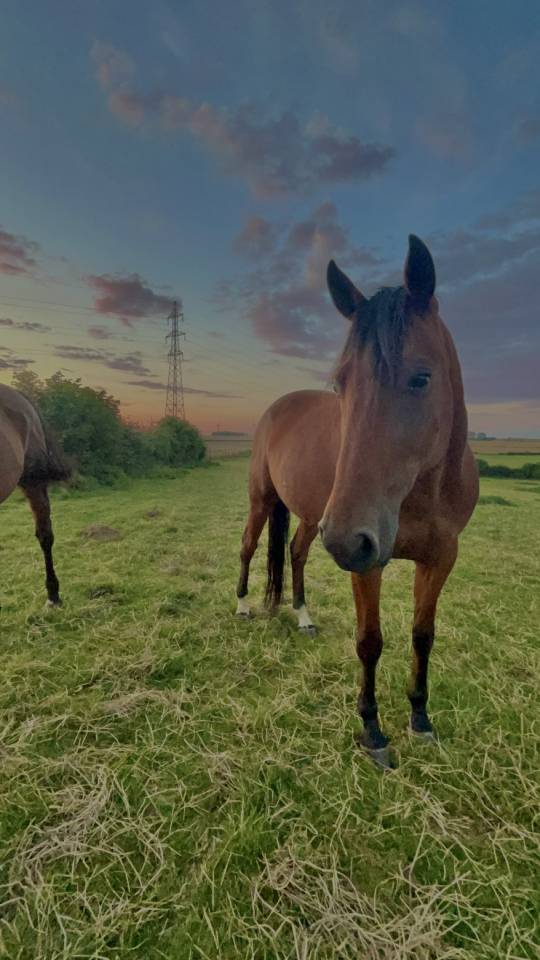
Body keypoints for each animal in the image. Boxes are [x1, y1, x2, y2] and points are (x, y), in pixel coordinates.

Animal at [236, 235, 478, 768]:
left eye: (421, 377)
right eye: (341, 383)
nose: (349, 540)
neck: (423, 490)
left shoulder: (441, 558)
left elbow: (423, 635)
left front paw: (420, 719)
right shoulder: (369, 562)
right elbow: (370, 641)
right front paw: (372, 731)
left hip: (314, 518)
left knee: (296, 553)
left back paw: (303, 616)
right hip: (268, 502)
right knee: (247, 547)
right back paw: (241, 607)